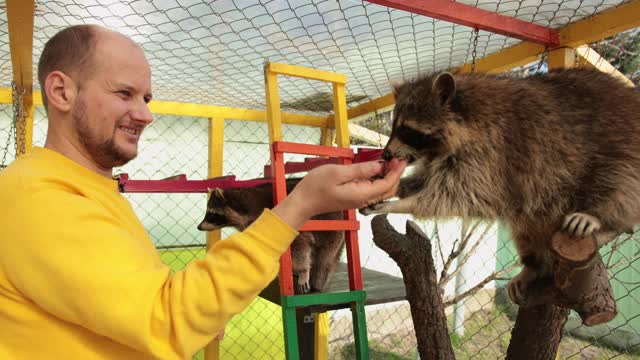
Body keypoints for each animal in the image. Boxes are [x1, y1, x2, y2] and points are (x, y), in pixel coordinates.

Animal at [198, 179, 344, 294]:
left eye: (212, 213)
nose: (199, 227)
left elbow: (299, 246)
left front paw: (302, 270)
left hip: (331, 226)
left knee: (325, 257)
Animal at [362, 67, 640, 304]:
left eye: (407, 131)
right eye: (394, 127)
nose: (386, 155)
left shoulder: (492, 156)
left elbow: (456, 197)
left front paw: (401, 204)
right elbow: (425, 181)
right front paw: (394, 188)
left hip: (622, 149)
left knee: (621, 183)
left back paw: (603, 219)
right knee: (527, 226)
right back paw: (533, 265)